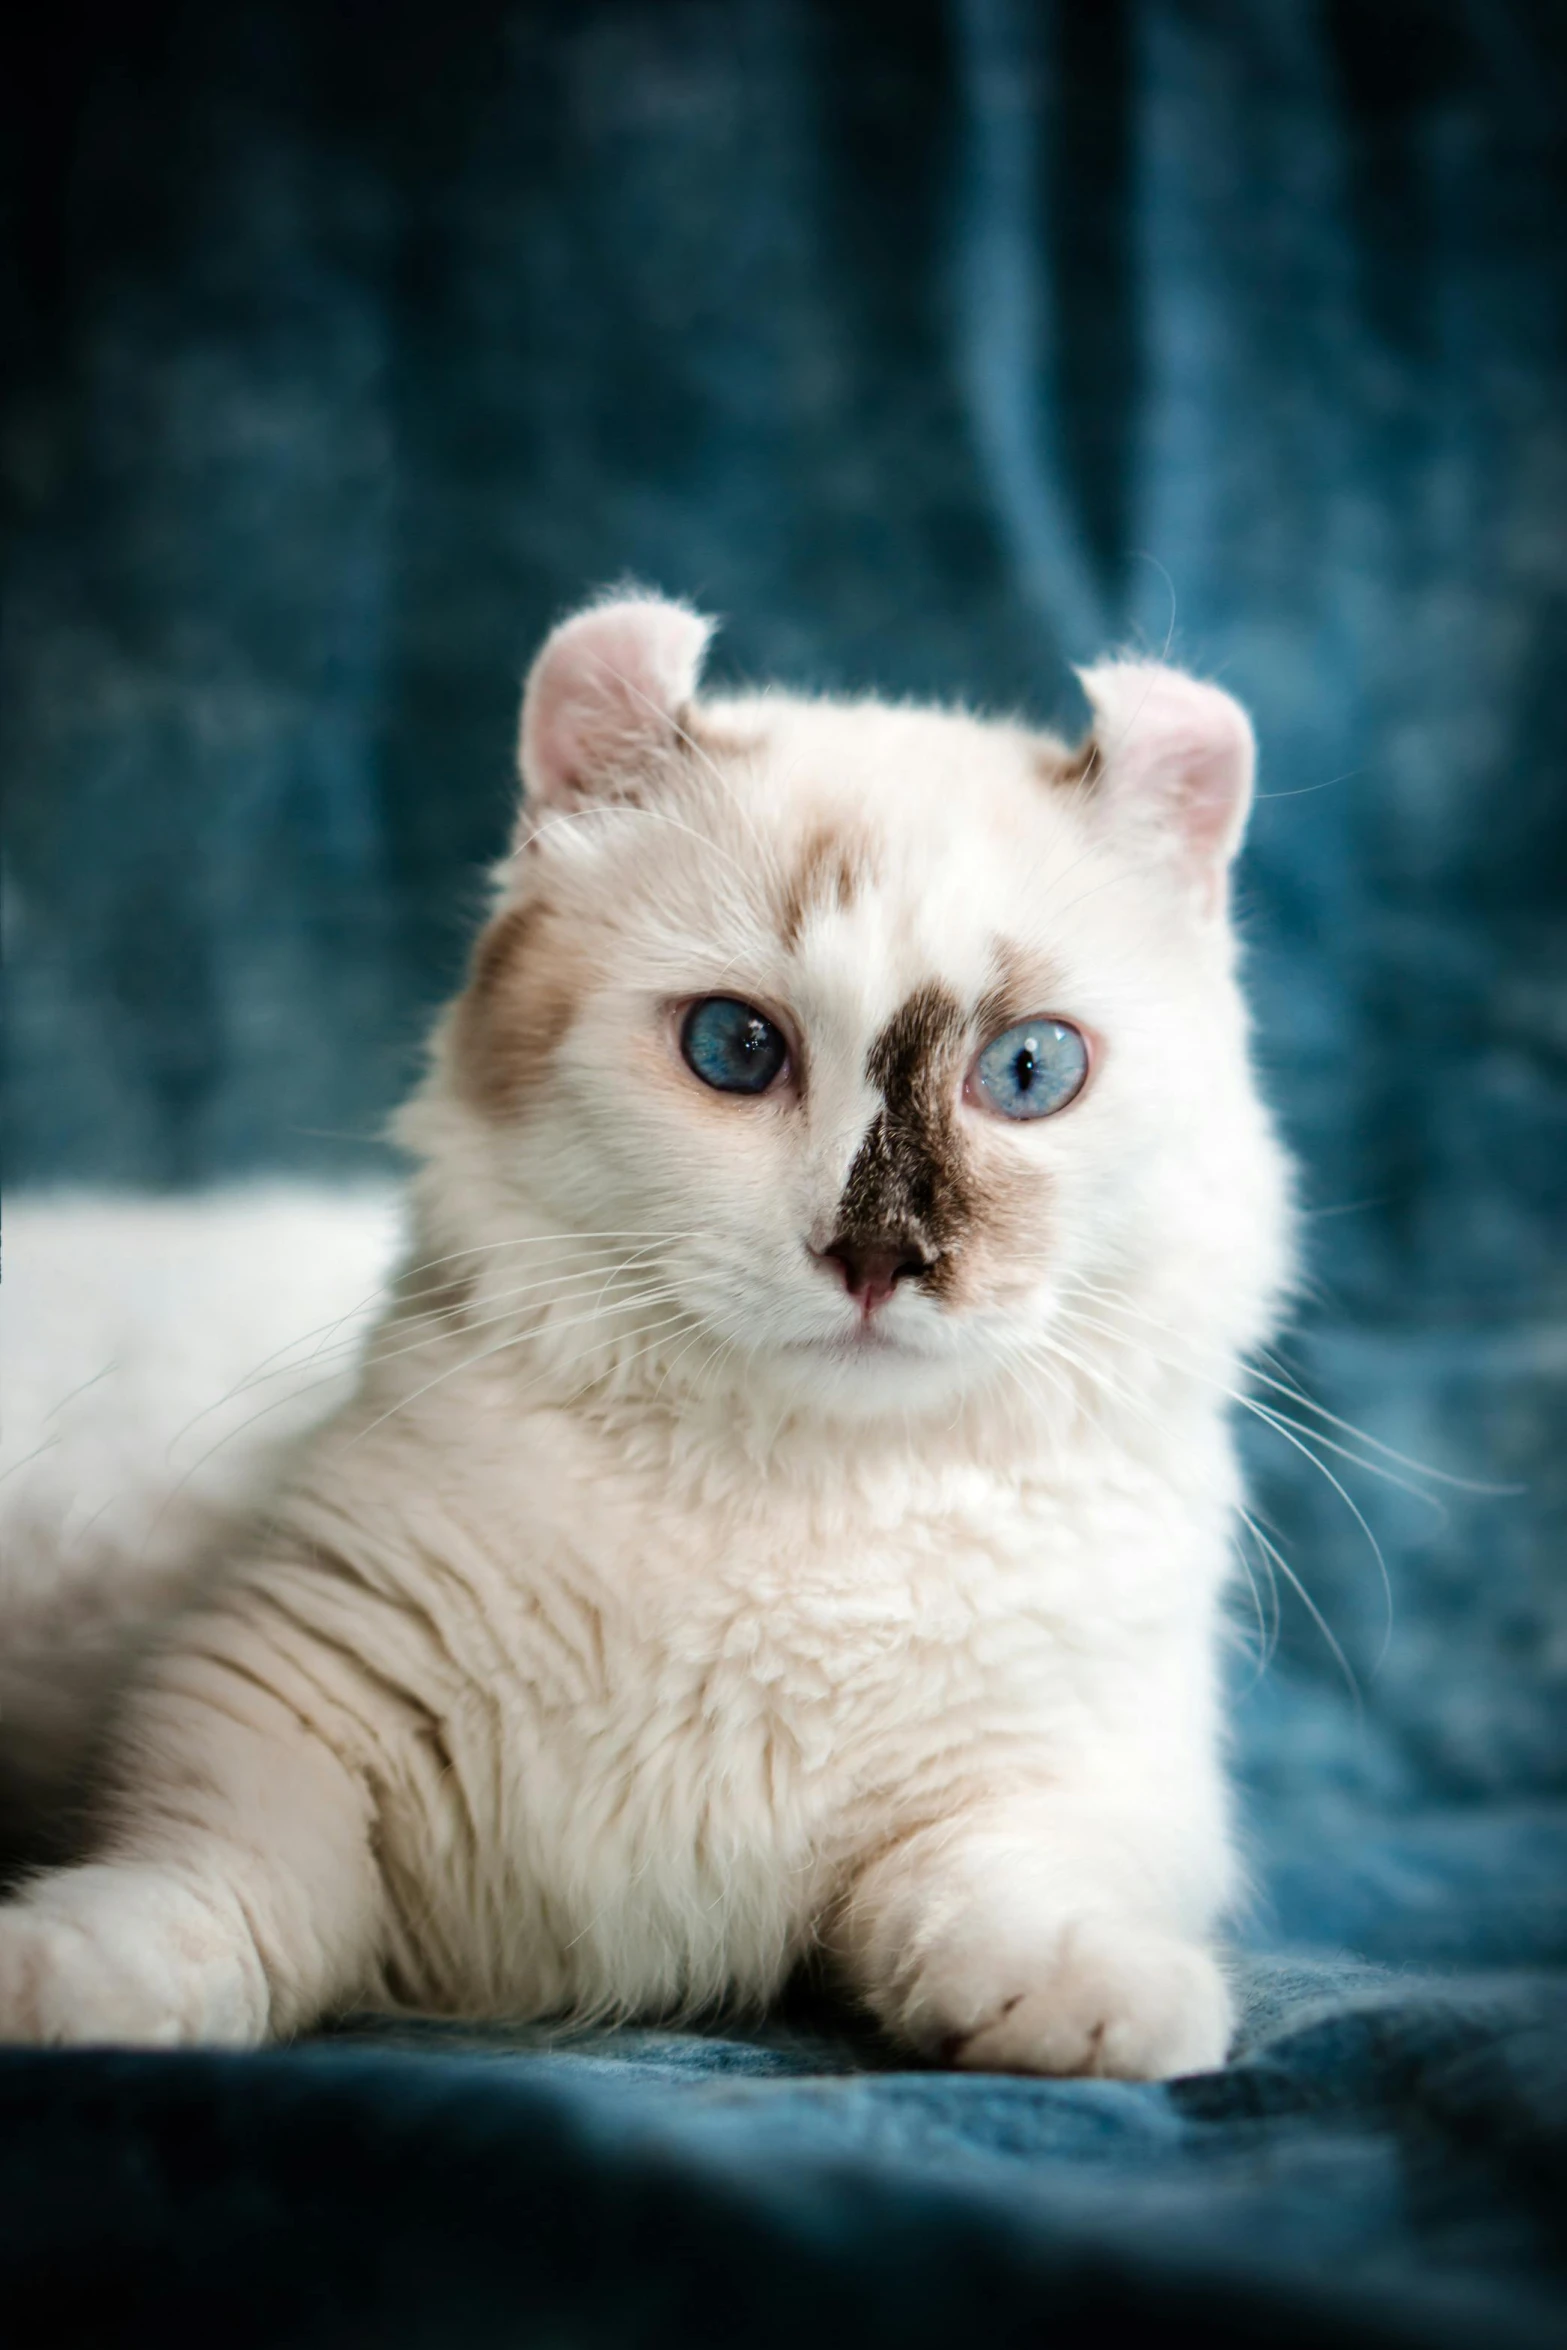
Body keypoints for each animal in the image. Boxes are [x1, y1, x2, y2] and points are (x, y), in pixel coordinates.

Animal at [0, 592, 1287, 2077]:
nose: (875, 1255)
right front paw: (59, 1979)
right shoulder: (284, 1690)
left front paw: (1096, 2008)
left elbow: (1003, 1883)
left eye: (1028, 1070)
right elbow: (202, 1883)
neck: (794, 1517)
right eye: (736, 1048)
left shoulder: (1079, 1771)